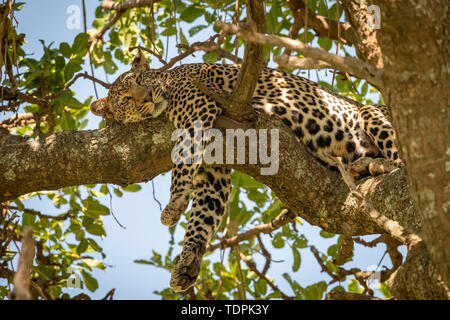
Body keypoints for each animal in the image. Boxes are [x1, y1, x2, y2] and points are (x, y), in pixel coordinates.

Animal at [90, 50, 400, 292]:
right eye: (125, 99)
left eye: (141, 81)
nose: (146, 97)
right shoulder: (213, 169)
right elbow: (204, 213)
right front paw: (188, 261)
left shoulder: (197, 109)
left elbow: (183, 156)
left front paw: (174, 203)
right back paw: (360, 167)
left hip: (371, 113)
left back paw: (382, 165)